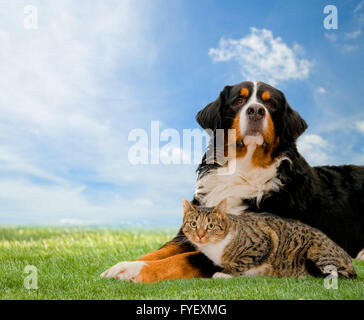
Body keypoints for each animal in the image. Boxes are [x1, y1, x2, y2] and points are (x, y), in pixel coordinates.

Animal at [181, 198, 356, 278]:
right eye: (194, 224)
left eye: (210, 226)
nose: (200, 235)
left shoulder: (263, 241)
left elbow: (242, 261)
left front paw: (224, 273)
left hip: (318, 252)